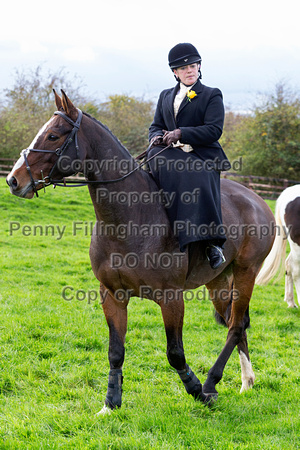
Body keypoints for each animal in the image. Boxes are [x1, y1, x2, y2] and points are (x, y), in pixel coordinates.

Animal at [5, 91, 276, 414]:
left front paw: (197, 391)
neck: (128, 219)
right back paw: (246, 381)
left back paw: (212, 383)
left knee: (235, 326)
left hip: (247, 272)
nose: (13, 180)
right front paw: (110, 403)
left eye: (53, 135)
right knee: (238, 324)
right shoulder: (112, 295)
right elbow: (115, 351)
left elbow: (175, 353)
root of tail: (256, 199)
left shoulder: (171, 298)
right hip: (218, 281)